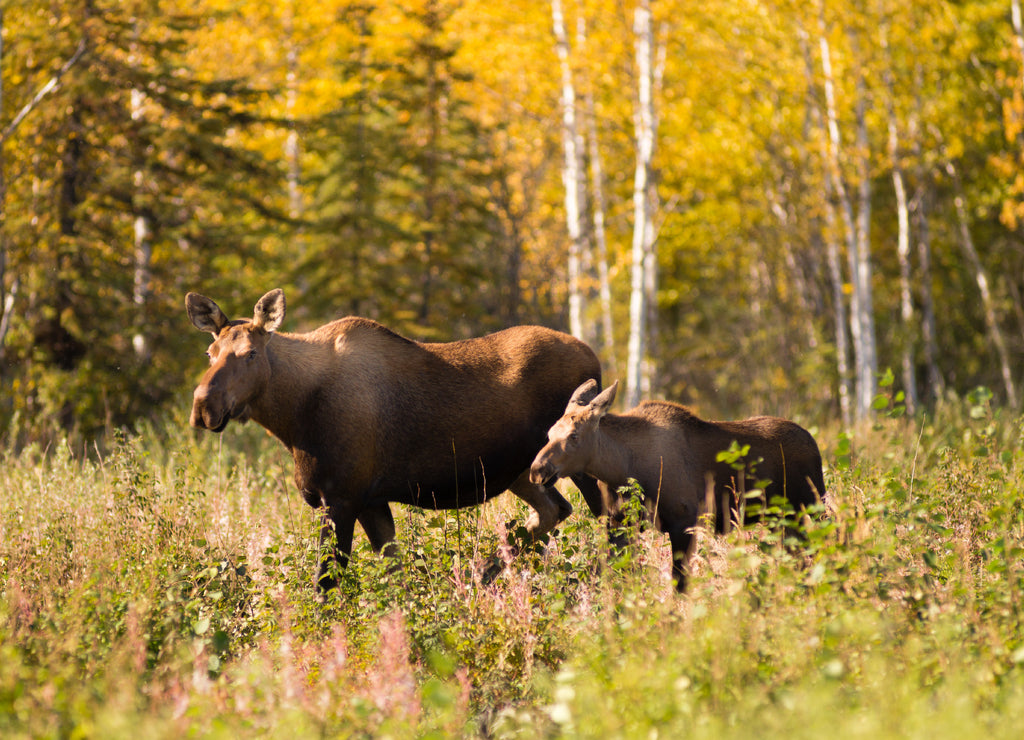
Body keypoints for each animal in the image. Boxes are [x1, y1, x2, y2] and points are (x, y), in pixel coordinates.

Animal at [185, 290, 602, 597]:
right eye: (209, 352)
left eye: (251, 353)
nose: (204, 406)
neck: (293, 420)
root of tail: (594, 357)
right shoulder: (371, 501)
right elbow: (396, 579)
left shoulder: (341, 497)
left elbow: (325, 587)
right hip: (523, 471)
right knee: (554, 511)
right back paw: (479, 576)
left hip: (581, 461)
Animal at [532, 382, 827, 589]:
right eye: (549, 433)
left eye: (574, 436)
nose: (537, 471)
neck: (622, 467)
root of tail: (814, 443)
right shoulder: (620, 523)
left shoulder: (684, 522)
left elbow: (680, 584)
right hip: (782, 518)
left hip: (813, 506)